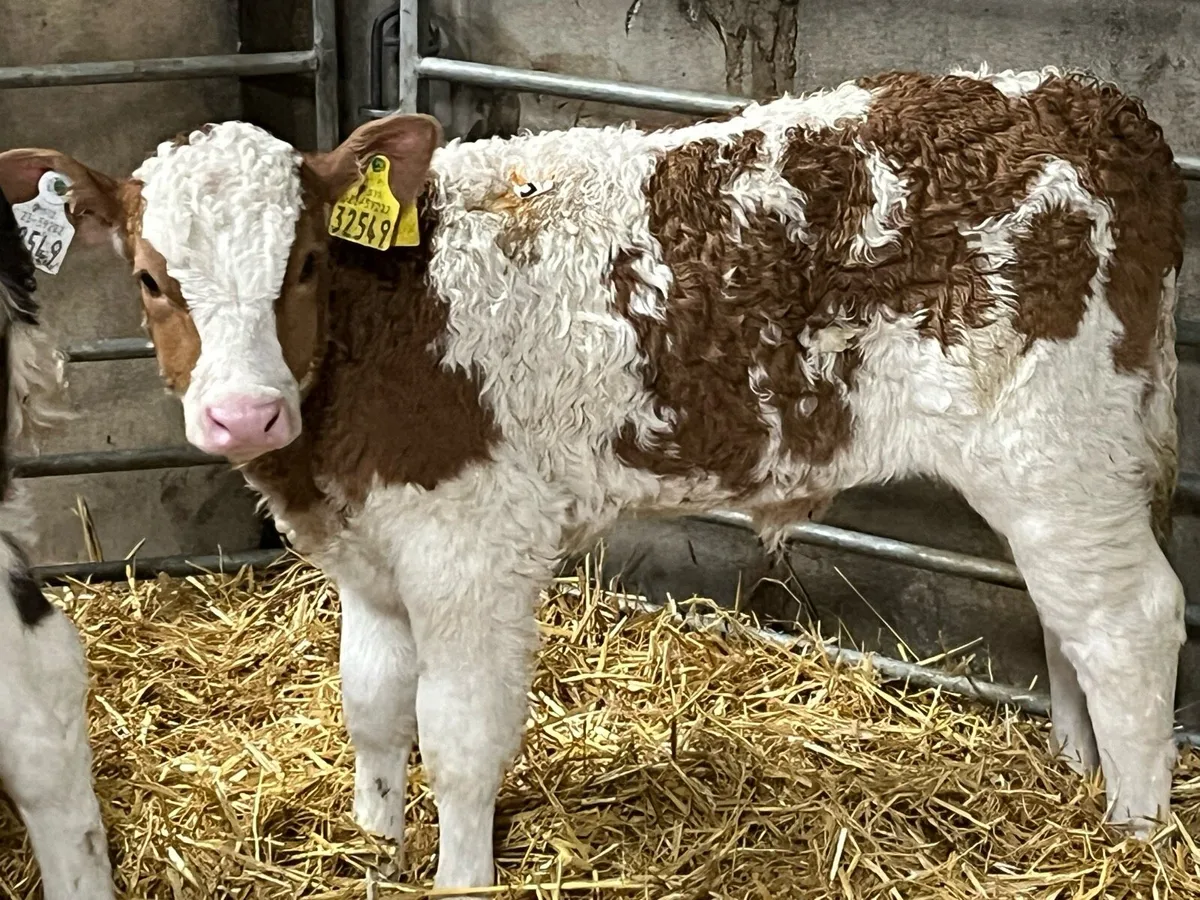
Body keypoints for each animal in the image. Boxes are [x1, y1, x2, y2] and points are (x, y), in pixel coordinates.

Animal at [0, 65, 1186, 894]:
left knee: (1130, 621)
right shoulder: (368, 553)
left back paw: (1135, 835)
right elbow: (373, 708)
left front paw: (459, 876)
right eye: (151, 281)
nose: (241, 412)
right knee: (1069, 620)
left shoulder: (471, 547)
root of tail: (1085, 102)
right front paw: (375, 844)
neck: (385, 322)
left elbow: (459, 739)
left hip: (1054, 446)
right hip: (1061, 467)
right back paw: (1080, 784)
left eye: (302, 265)